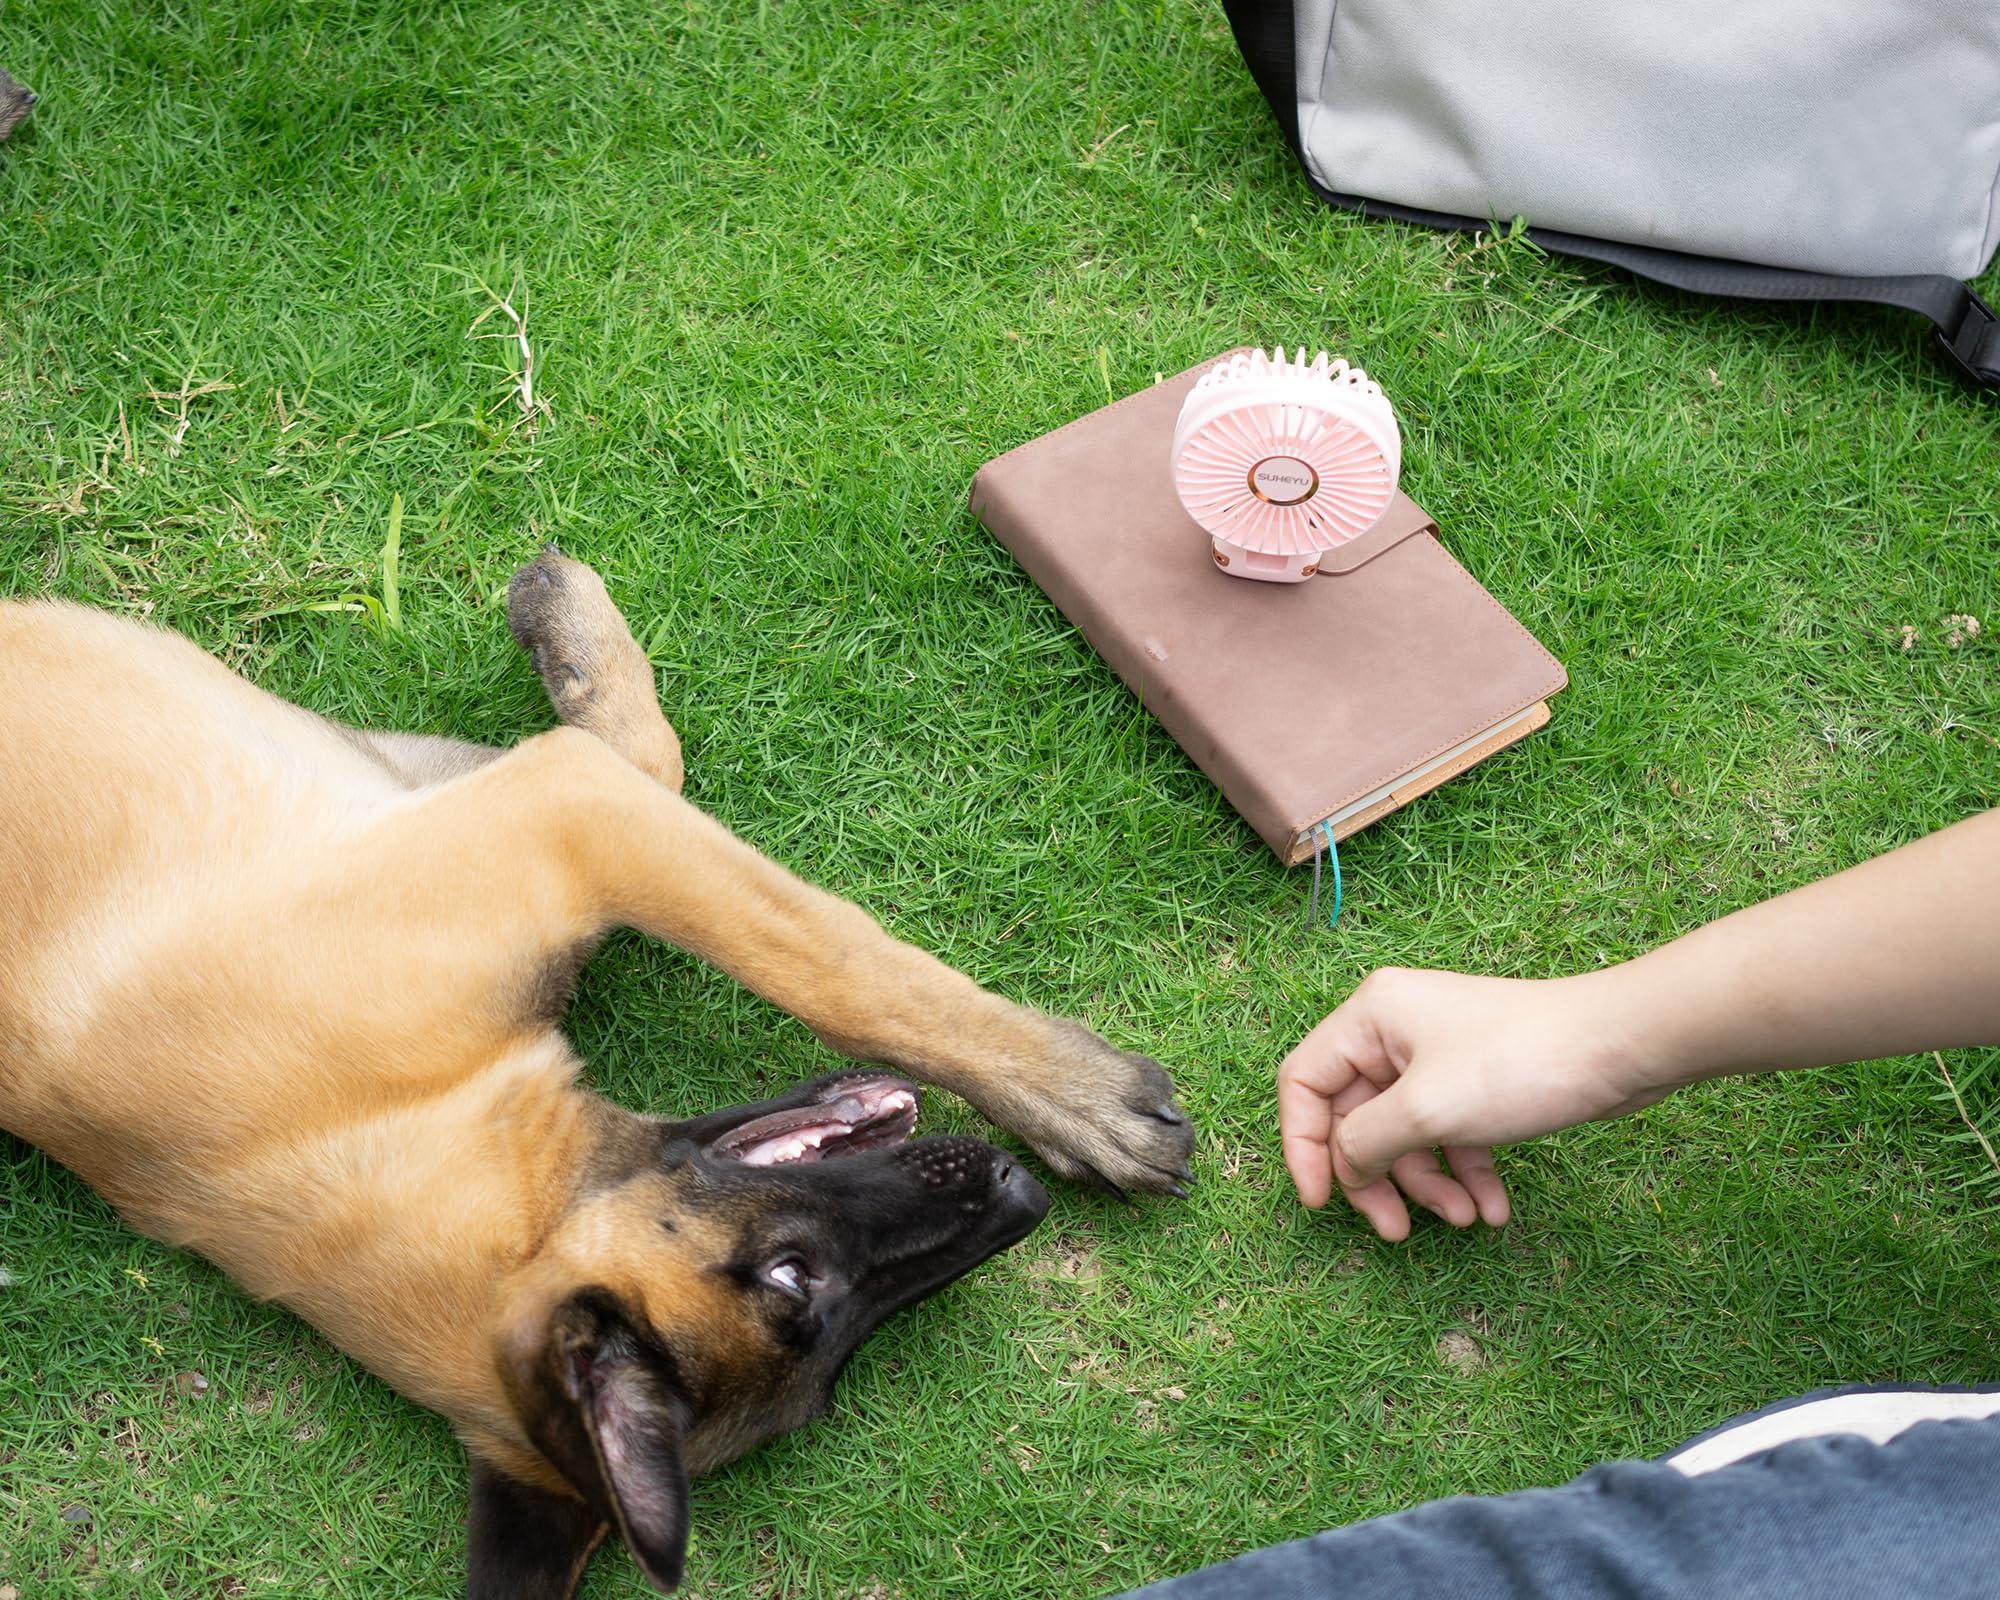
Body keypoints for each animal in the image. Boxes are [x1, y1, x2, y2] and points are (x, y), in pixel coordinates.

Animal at [0, 552, 1184, 1600]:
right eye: (799, 1290)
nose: (1013, 1195)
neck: (399, 1121)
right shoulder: (551, 812)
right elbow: (832, 964)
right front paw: (1069, 1091)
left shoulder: (505, 798)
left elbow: (653, 774)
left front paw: (571, 633)